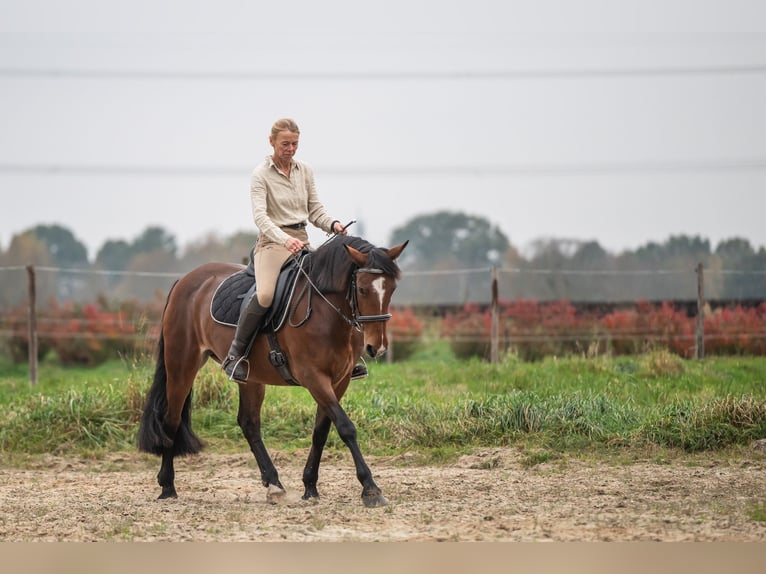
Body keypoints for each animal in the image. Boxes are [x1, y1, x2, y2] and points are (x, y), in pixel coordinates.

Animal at [136, 234, 408, 508]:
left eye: (392, 289)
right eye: (362, 289)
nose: (376, 347)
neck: (325, 310)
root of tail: (185, 280)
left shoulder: (339, 381)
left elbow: (321, 431)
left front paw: (310, 486)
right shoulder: (313, 377)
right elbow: (345, 427)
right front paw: (371, 489)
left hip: (250, 377)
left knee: (249, 423)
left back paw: (274, 484)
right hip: (182, 363)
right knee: (171, 419)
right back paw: (167, 486)